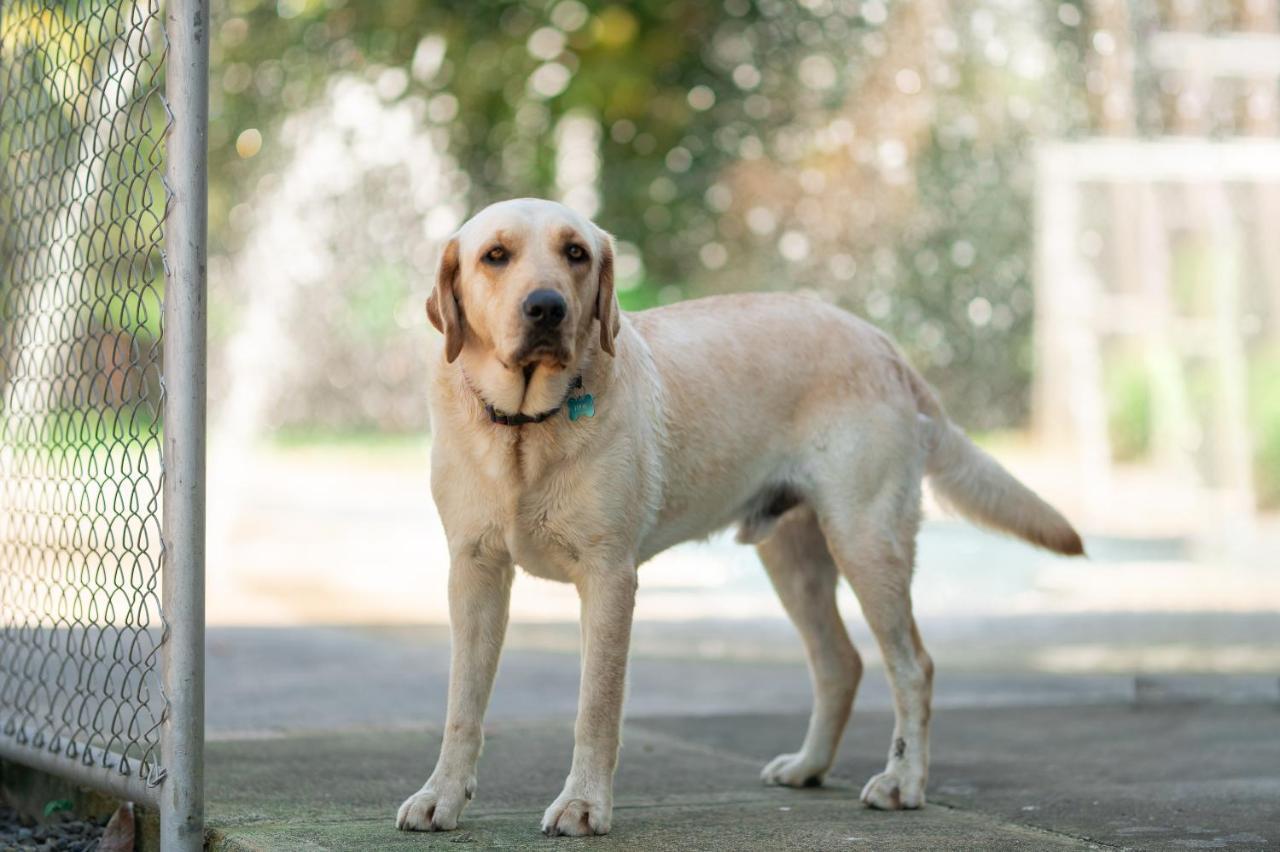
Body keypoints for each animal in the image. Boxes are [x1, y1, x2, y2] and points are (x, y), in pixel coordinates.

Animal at [396, 195, 1080, 834]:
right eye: (495, 256)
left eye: (576, 254)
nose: (546, 307)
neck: (524, 426)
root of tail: (882, 342)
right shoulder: (474, 571)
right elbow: (462, 704)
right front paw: (441, 796)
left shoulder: (610, 576)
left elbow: (597, 706)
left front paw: (584, 804)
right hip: (794, 558)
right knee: (841, 663)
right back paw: (809, 766)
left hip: (865, 540)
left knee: (913, 666)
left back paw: (902, 780)